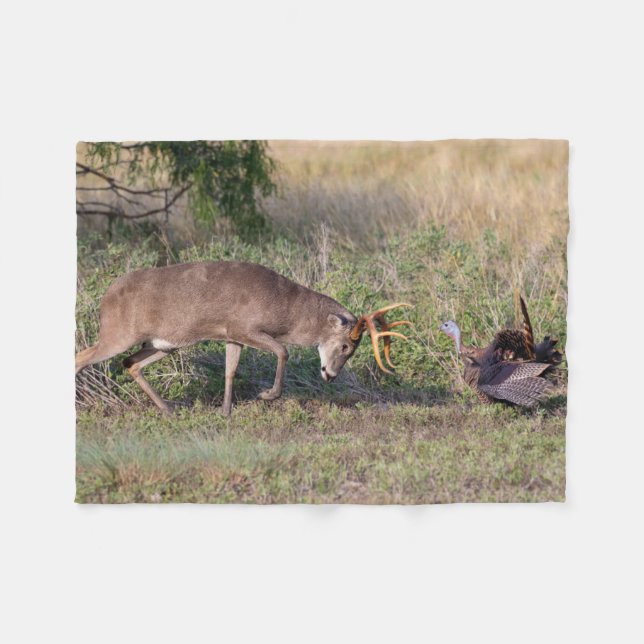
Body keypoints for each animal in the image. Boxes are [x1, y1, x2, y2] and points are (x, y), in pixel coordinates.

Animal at [75, 260, 413, 415]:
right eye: (344, 345)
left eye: (353, 350)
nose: (329, 374)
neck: (286, 308)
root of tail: (105, 300)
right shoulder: (243, 327)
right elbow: (283, 351)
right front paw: (266, 395)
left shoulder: (231, 335)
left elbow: (230, 370)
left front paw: (225, 411)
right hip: (118, 333)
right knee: (81, 357)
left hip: (164, 344)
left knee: (130, 363)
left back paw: (169, 410)